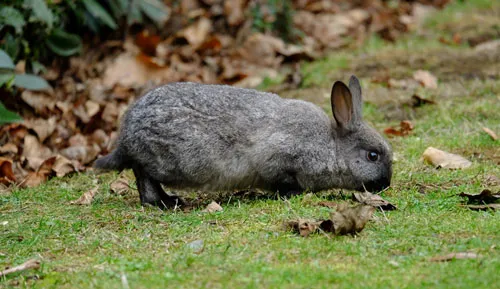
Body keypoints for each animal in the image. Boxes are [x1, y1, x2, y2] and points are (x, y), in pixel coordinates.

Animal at [93, 75, 390, 207]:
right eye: (372, 156)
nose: (385, 185)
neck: (331, 147)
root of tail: (127, 133)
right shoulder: (280, 159)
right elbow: (284, 181)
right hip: (169, 160)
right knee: (142, 173)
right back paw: (163, 202)